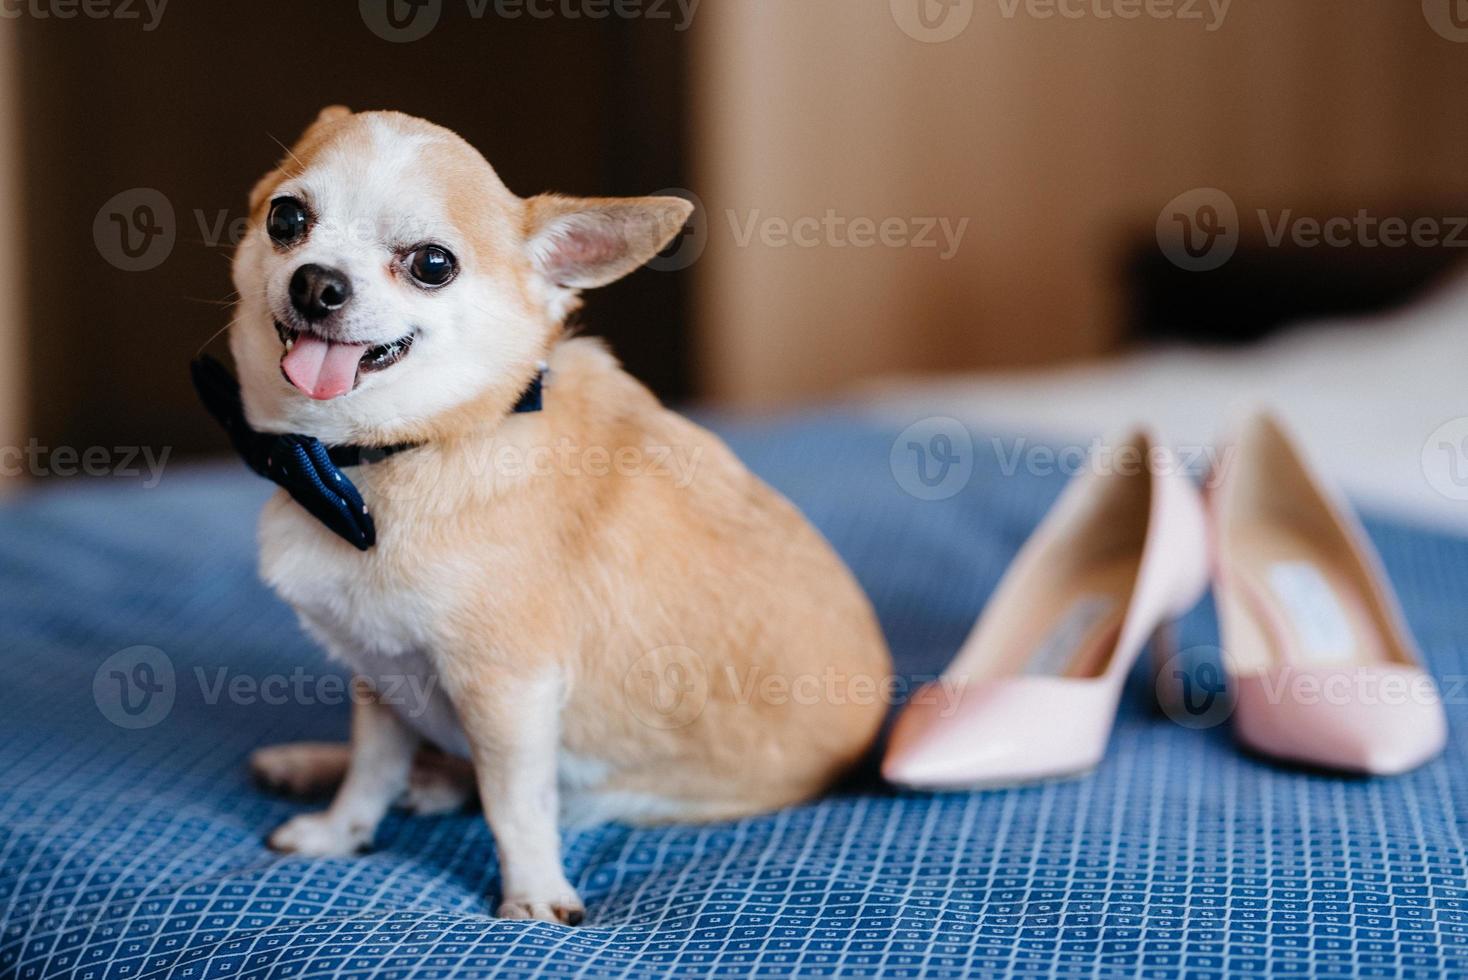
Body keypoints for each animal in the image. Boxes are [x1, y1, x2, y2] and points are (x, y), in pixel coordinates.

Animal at [234, 110, 886, 921]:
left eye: (433, 265)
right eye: (286, 219)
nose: (317, 281)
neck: (376, 458)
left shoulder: (509, 692)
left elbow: (513, 803)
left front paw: (535, 894)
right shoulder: (383, 676)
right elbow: (370, 771)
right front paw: (338, 832)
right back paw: (320, 764)